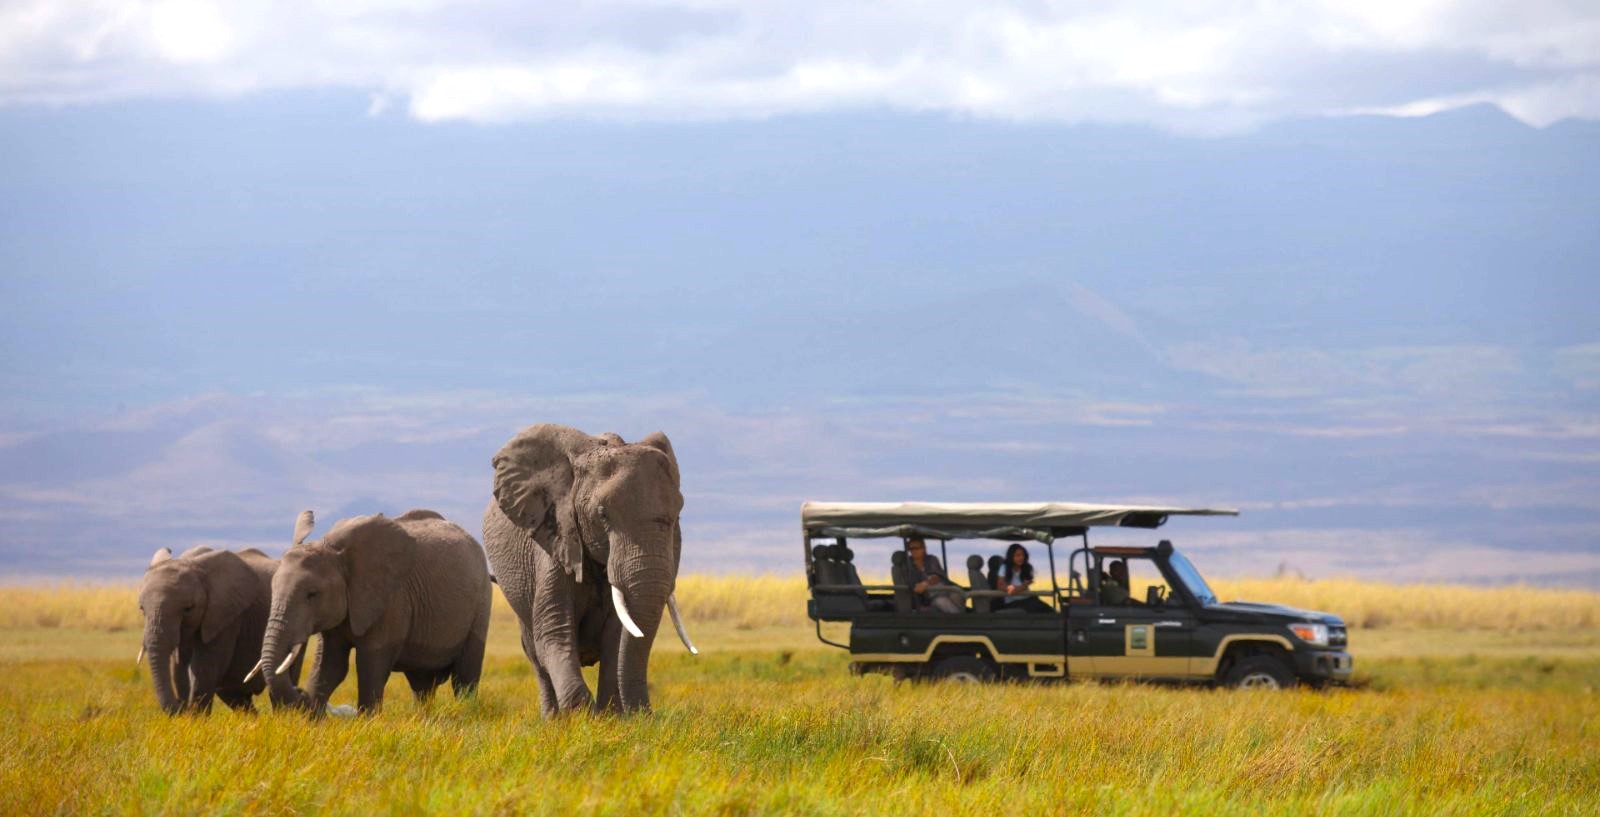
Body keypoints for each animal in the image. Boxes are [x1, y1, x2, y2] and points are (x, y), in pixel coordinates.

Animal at [137, 544, 303, 714]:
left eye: (188, 609)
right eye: (142, 609)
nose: (180, 705)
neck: (192, 563)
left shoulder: (225, 616)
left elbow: (204, 669)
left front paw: (195, 718)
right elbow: (178, 670)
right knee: (233, 695)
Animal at [255, 508, 492, 715]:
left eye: (312, 594)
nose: (300, 693)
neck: (335, 551)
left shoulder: (391, 601)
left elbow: (371, 665)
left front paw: (366, 722)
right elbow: (330, 665)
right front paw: (313, 720)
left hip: (481, 601)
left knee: (465, 675)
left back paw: (465, 712)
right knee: (422, 685)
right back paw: (423, 718)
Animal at [484, 423, 698, 716]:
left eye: (677, 516)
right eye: (602, 515)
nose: (647, 714)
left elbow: (617, 638)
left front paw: (610, 717)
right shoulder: (556, 537)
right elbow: (554, 631)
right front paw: (581, 715)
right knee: (535, 655)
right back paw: (552, 719)